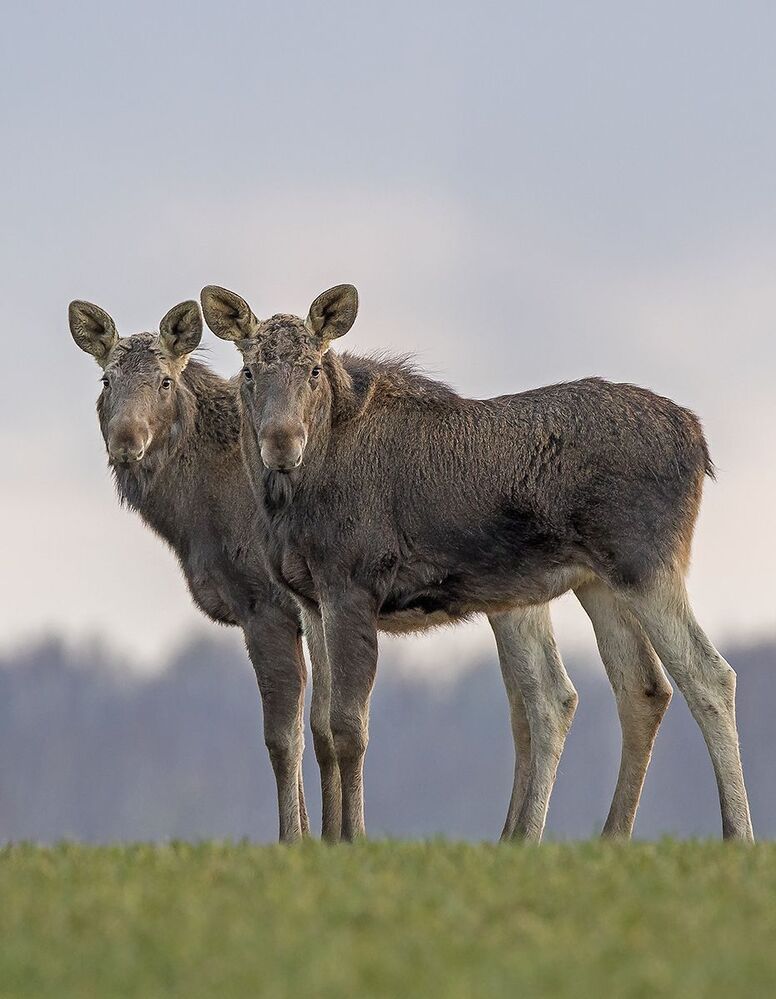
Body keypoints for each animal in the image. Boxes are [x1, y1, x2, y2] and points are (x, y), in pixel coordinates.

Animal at [200, 281, 754, 844]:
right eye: (248, 371)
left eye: (314, 369)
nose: (281, 442)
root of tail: (699, 440)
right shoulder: (311, 600)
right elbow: (320, 731)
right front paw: (331, 840)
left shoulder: (353, 585)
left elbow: (348, 727)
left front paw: (354, 838)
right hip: (599, 583)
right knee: (641, 687)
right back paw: (611, 835)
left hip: (646, 565)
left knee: (709, 676)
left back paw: (736, 833)